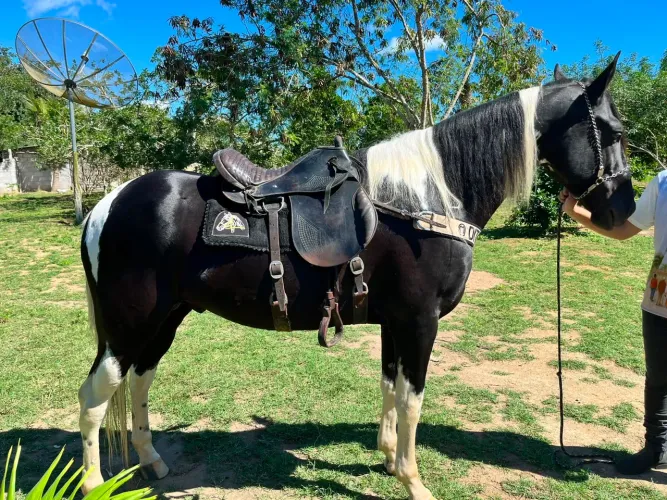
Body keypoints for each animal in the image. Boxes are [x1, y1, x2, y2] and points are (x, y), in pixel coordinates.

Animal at [77, 55, 634, 500]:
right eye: (612, 132)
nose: (623, 210)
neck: (426, 200)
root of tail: (108, 203)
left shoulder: (395, 321)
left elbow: (389, 387)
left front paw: (388, 459)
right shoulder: (420, 322)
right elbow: (412, 401)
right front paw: (413, 480)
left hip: (164, 319)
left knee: (140, 380)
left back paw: (152, 462)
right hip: (128, 326)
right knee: (94, 398)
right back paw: (93, 482)